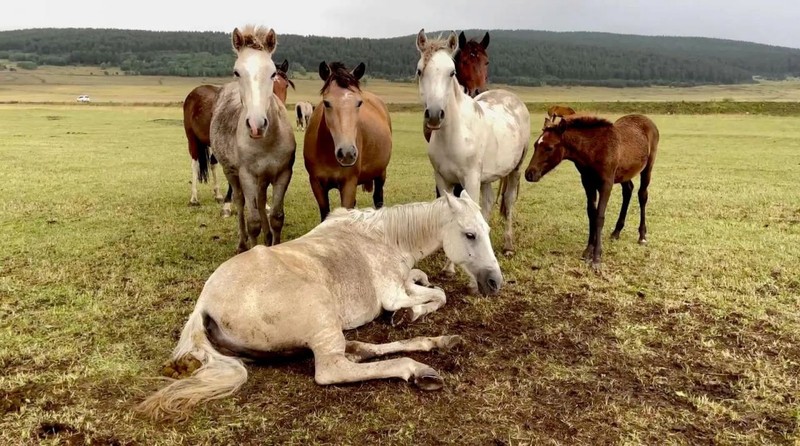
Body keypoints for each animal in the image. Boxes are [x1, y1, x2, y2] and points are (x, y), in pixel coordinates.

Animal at [135, 193, 504, 420]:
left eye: (486, 230)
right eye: (470, 234)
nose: (495, 282)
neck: (387, 237)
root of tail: (204, 305)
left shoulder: (404, 282)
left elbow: (429, 285)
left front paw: (411, 312)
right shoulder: (394, 293)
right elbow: (437, 295)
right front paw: (406, 315)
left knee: (357, 349)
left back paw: (438, 343)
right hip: (322, 314)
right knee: (333, 368)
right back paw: (417, 368)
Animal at [181, 59, 294, 209]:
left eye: (285, 85)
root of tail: (194, 93)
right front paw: (230, 202)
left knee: (212, 163)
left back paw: (217, 195)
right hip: (192, 139)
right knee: (195, 164)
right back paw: (194, 198)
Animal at [209, 27, 296, 251]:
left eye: (272, 72)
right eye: (237, 72)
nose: (257, 125)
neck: (266, 142)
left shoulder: (283, 173)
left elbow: (276, 217)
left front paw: (274, 245)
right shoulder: (247, 175)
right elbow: (253, 222)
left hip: (263, 179)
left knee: (261, 200)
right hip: (232, 172)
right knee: (240, 202)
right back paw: (242, 244)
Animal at [304, 60, 392, 223]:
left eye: (359, 103)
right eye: (326, 103)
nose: (347, 153)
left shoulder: (349, 183)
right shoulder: (316, 184)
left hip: (381, 173)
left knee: (378, 199)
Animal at [520, 113, 660, 270]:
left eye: (549, 148)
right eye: (535, 145)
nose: (529, 174)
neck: (594, 149)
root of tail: (645, 119)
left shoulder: (606, 184)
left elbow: (599, 217)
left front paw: (597, 257)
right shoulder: (588, 183)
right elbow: (591, 215)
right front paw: (588, 250)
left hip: (648, 167)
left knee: (642, 195)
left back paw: (642, 236)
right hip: (624, 173)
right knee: (628, 191)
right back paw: (616, 232)